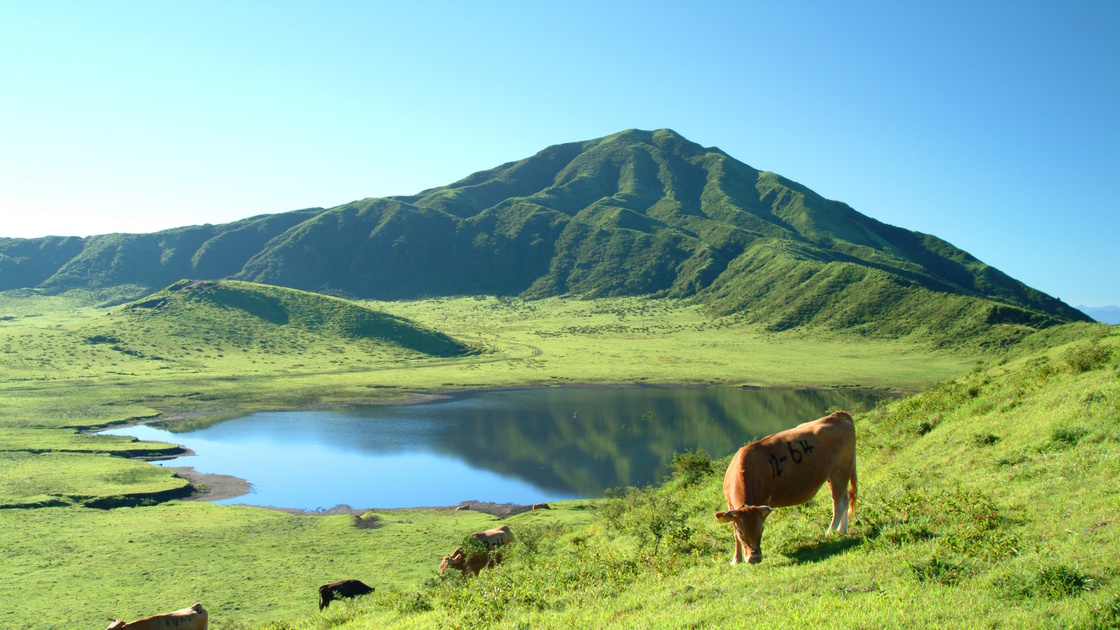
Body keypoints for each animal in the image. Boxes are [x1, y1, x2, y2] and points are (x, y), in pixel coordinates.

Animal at [712, 410, 860, 560]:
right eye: (741, 532)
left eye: (761, 529)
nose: (755, 558)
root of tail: (837, 415)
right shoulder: (730, 505)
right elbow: (734, 531)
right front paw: (736, 559)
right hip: (838, 473)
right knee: (845, 498)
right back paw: (842, 530)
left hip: (839, 470)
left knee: (839, 503)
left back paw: (831, 533)